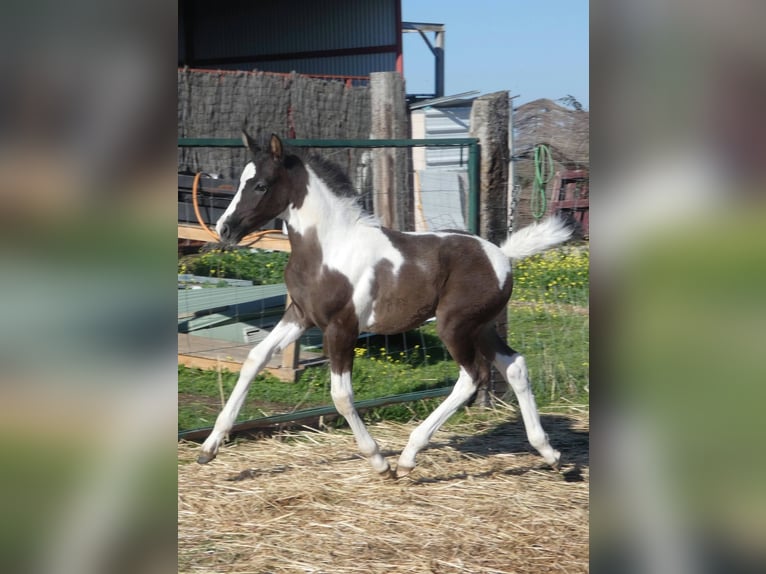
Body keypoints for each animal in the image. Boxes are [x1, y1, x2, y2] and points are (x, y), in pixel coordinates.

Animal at [197, 132, 573, 478]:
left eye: (261, 185)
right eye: (240, 182)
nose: (224, 229)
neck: (328, 248)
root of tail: (503, 255)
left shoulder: (342, 327)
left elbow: (341, 395)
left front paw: (378, 461)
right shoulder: (300, 316)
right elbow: (254, 359)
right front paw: (209, 448)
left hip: (454, 325)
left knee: (472, 377)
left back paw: (408, 457)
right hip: (481, 326)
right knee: (514, 366)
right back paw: (549, 453)